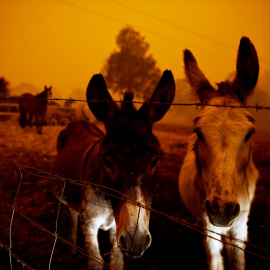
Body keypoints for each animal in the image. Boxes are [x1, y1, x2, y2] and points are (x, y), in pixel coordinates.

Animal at [179, 36, 260, 270]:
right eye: (198, 132)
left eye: (250, 133)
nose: (222, 209)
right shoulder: (209, 222)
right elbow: (215, 258)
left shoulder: (241, 224)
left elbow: (238, 257)